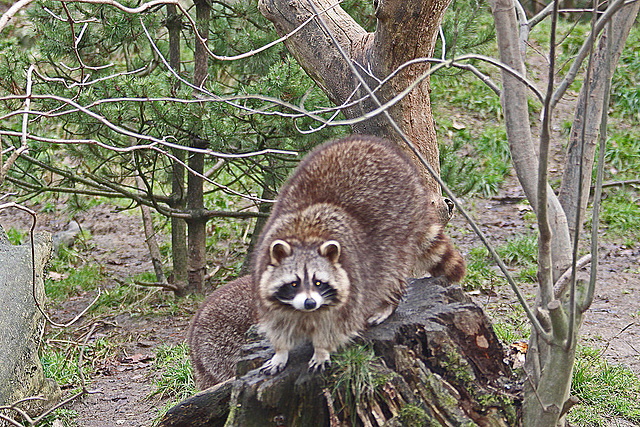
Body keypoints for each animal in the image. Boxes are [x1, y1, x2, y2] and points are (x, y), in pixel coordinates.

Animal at [250, 136, 464, 374]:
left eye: (318, 282)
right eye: (294, 283)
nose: (310, 303)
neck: (305, 235)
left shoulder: (352, 287)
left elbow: (335, 325)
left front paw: (322, 349)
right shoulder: (264, 276)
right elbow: (278, 322)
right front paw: (280, 351)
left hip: (401, 226)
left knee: (392, 270)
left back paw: (387, 304)